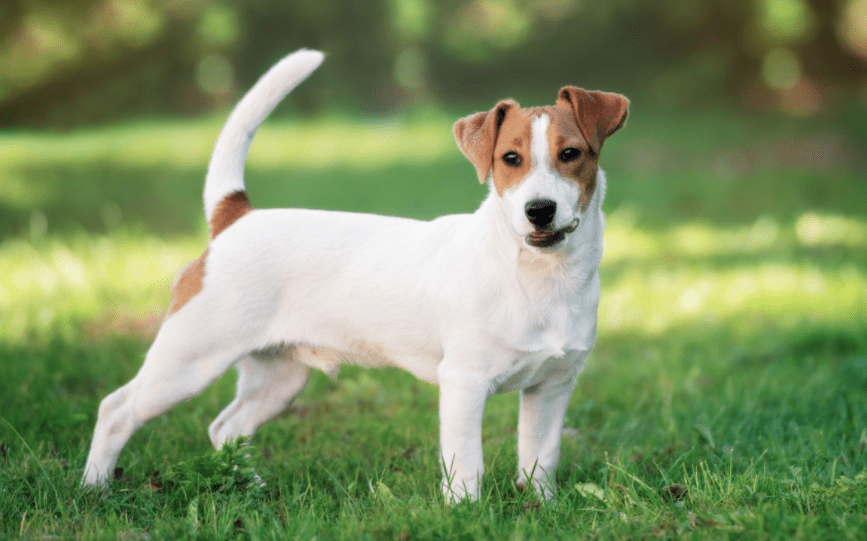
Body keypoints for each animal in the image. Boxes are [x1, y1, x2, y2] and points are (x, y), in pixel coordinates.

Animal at [81, 48, 628, 500]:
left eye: (570, 154)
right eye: (509, 159)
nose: (540, 210)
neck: (538, 278)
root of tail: (235, 218)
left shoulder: (551, 389)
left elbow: (540, 459)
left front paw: (541, 507)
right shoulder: (464, 385)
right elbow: (466, 466)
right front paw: (465, 513)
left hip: (278, 377)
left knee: (227, 428)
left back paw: (250, 489)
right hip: (188, 360)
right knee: (117, 410)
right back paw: (94, 489)